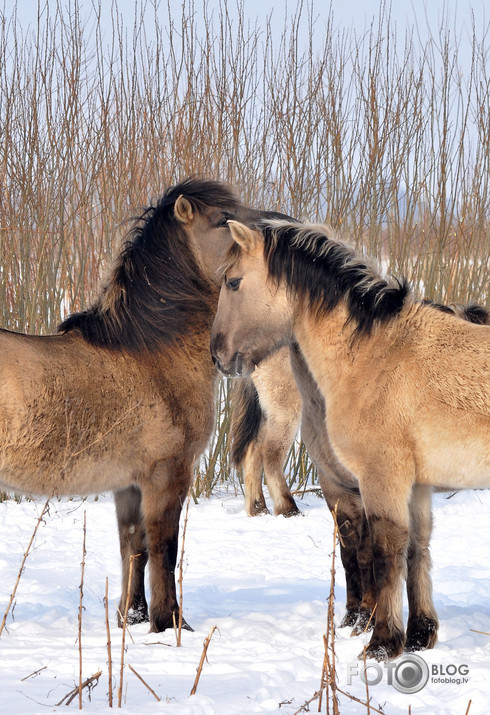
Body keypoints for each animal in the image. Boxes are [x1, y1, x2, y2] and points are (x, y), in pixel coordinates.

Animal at [0, 179, 276, 632]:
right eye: (223, 220)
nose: (279, 228)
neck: (150, 354)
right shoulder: (167, 475)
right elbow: (164, 548)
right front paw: (170, 623)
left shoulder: (129, 484)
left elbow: (134, 547)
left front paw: (133, 617)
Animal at [211, 218, 490, 660]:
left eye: (234, 281)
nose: (217, 355)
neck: (376, 353)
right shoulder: (414, 486)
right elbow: (416, 549)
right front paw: (419, 635)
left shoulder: (381, 478)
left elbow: (385, 553)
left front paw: (382, 643)